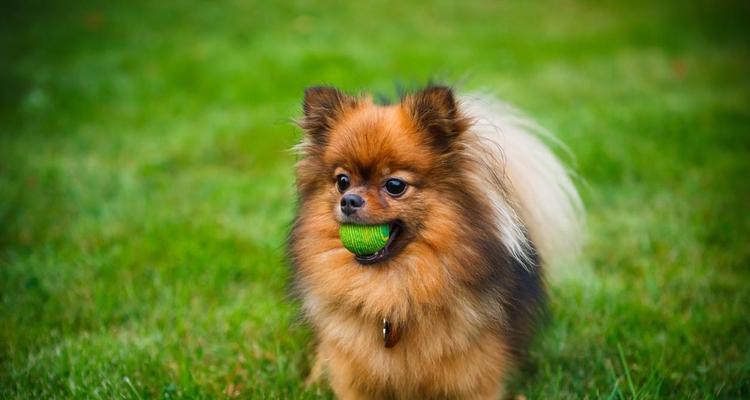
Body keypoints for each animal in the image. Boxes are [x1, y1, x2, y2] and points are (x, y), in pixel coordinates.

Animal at [284, 86, 584, 398]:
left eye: (395, 185)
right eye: (342, 181)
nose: (349, 200)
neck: (392, 296)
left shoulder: (475, 379)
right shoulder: (355, 378)